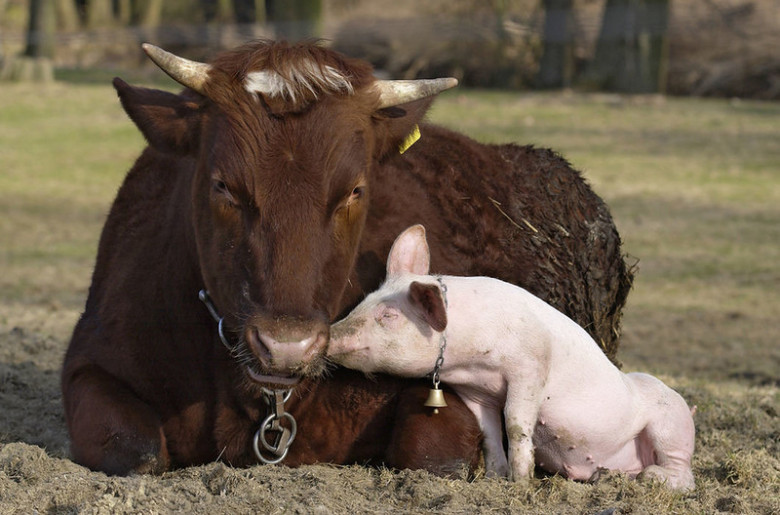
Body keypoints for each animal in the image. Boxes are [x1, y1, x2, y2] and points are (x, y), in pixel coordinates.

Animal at [61, 39, 633, 476]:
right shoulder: (90, 364)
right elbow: (135, 452)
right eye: (222, 185)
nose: (286, 345)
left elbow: (433, 457)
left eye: (355, 190)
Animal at [328, 224, 696, 490]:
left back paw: (651, 478)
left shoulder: (530, 367)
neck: (471, 363)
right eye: (364, 301)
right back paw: (605, 477)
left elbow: (516, 423)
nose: (329, 335)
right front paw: (494, 479)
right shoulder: (475, 394)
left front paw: (521, 483)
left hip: (670, 424)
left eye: (389, 315)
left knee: (684, 475)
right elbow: (489, 433)